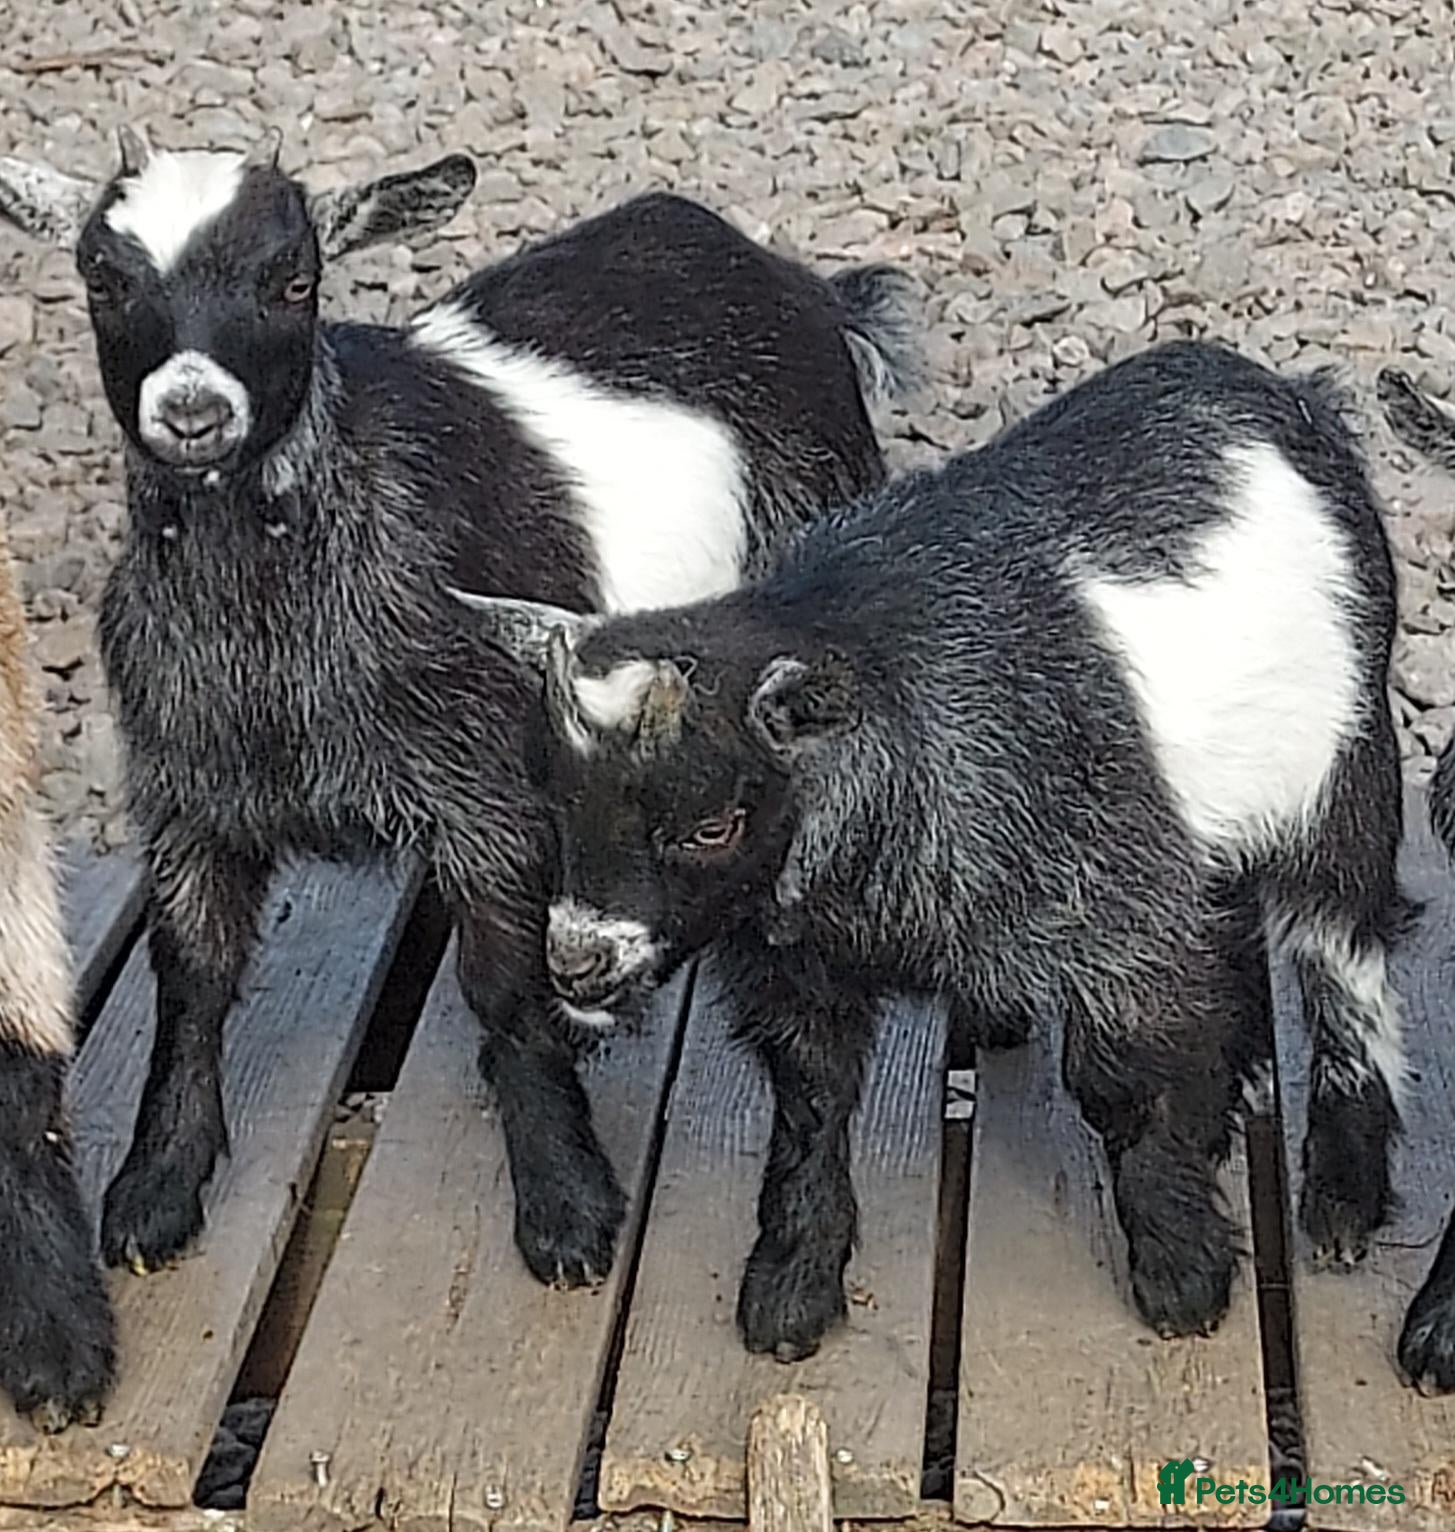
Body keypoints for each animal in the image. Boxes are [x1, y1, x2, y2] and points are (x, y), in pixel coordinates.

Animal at [0, 125, 917, 1296]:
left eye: (293, 277)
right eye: (102, 278)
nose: (194, 412)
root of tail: (798, 284)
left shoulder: (483, 792)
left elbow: (502, 983)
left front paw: (566, 1202)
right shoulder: (188, 787)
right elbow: (193, 977)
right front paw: (155, 1189)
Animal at [456, 340, 1411, 1360]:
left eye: (712, 826)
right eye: (553, 800)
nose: (577, 962)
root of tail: (1279, 395)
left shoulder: (1110, 907)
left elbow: (1120, 1079)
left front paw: (1181, 1274)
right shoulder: (799, 965)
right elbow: (810, 1102)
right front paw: (789, 1292)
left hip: (1344, 764)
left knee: (1340, 950)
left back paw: (1342, 1201)